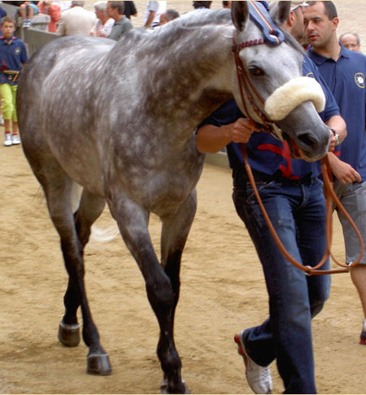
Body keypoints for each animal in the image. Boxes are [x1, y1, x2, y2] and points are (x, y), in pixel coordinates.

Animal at [17, 1, 330, 394]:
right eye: (256, 68)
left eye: (300, 62)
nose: (317, 137)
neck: (155, 103)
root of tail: (43, 56)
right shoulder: (129, 211)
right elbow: (160, 289)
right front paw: (172, 371)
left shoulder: (181, 209)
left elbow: (175, 287)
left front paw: (169, 368)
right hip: (54, 179)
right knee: (73, 252)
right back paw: (94, 346)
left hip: (92, 188)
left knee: (80, 234)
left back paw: (69, 322)